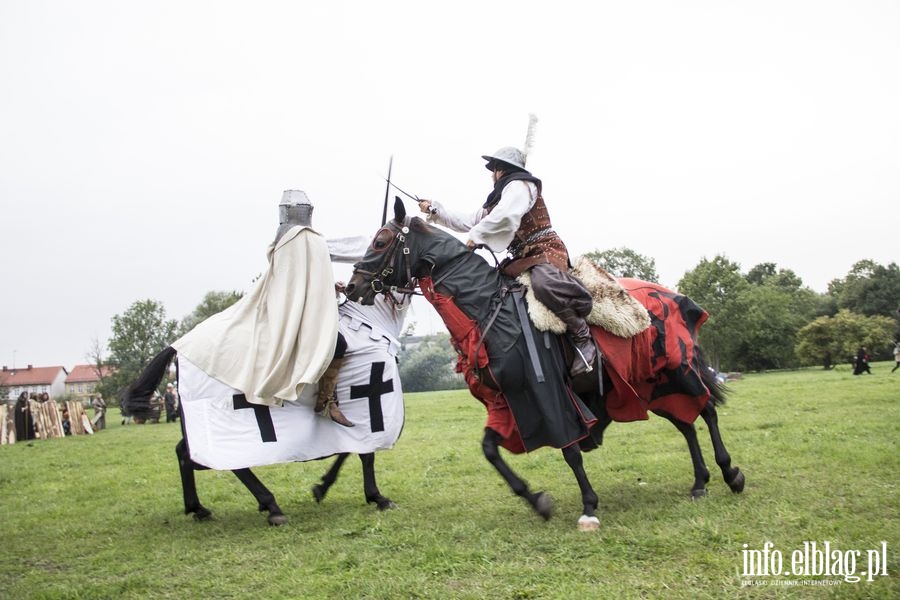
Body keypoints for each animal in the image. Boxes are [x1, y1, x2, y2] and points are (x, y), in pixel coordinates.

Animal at [344, 200, 744, 528]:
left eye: (380, 241)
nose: (352, 286)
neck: (488, 308)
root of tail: (674, 296)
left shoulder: (549, 393)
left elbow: (570, 450)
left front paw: (588, 506)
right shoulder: (507, 402)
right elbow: (490, 449)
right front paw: (535, 500)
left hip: (679, 370)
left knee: (706, 410)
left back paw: (729, 473)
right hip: (651, 383)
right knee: (686, 422)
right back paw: (699, 483)